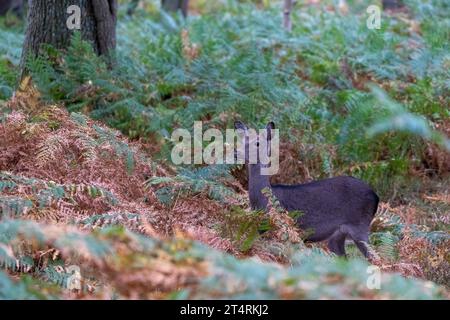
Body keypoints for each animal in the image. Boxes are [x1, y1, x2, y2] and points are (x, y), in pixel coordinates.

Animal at [236, 120, 380, 258]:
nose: (236, 152)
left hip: (359, 226)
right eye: (243, 140)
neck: (262, 201)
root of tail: (376, 197)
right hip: (338, 236)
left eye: (257, 143)